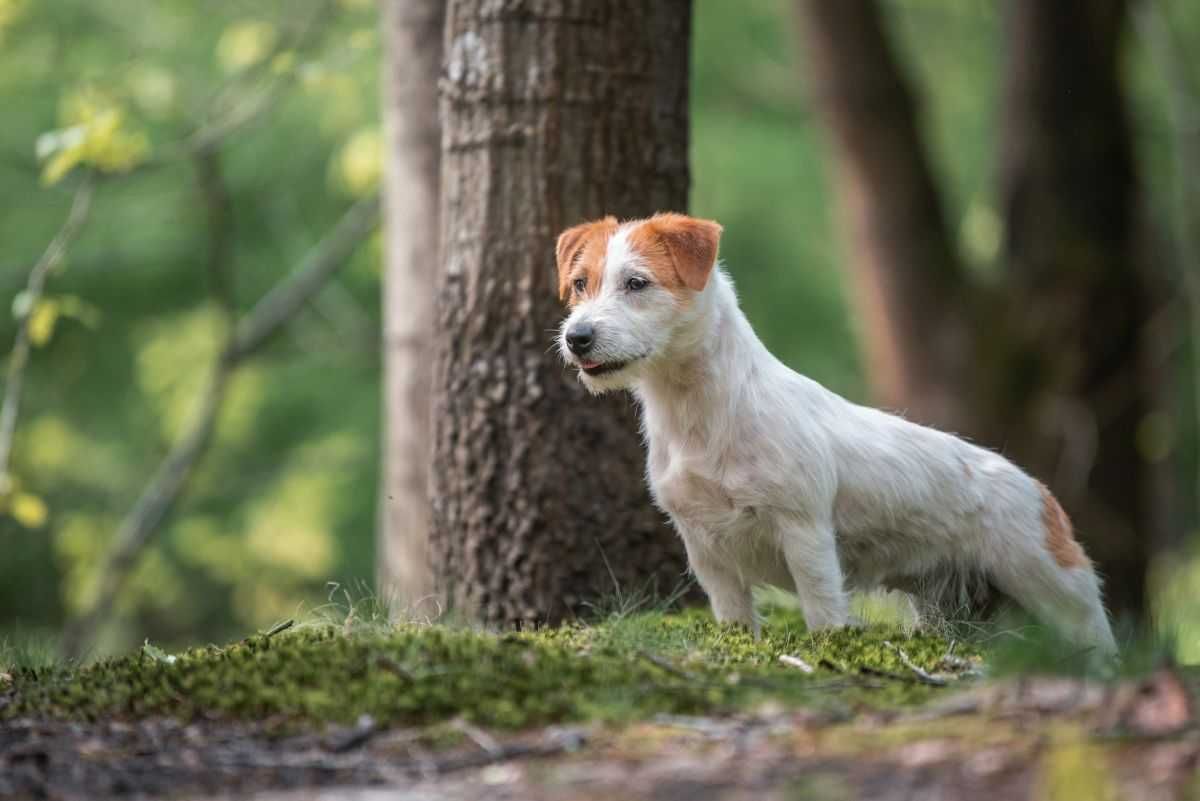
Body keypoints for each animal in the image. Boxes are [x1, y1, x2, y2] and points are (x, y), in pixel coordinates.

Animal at [556, 212, 1118, 657]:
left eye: (637, 283)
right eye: (581, 284)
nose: (576, 337)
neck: (701, 412)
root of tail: (1041, 493)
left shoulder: (804, 534)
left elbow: (823, 609)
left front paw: (830, 650)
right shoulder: (707, 551)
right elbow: (735, 618)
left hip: (1058, 593)